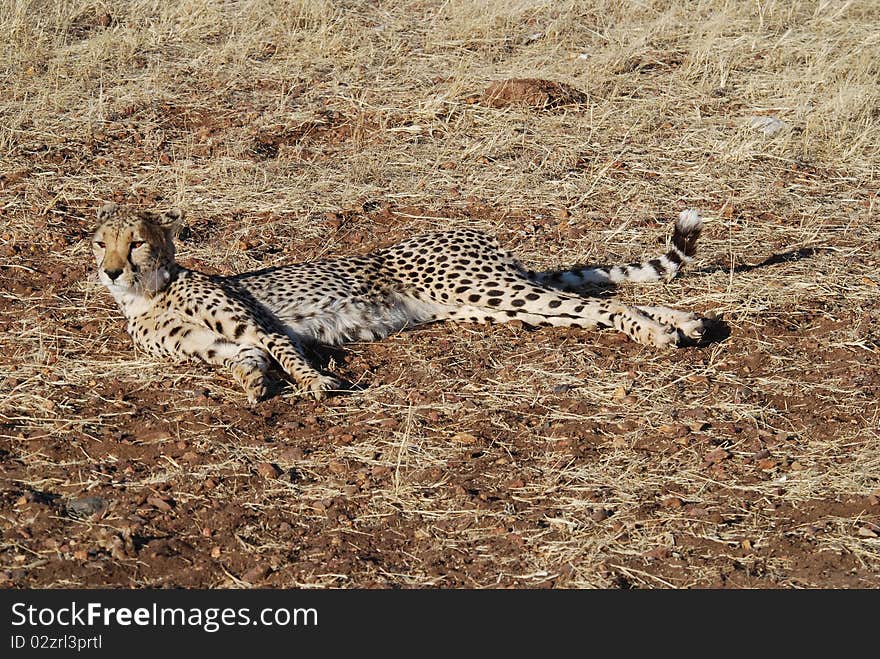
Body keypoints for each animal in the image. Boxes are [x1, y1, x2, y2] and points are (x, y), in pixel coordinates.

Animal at [91, 204, 708, 404]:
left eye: (136, 242)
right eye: (100, 243)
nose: (111, 270)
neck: (147, 296)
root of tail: (471, 233)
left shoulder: (258, 323)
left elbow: (284, 351)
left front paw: (318, 383)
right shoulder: (216, 344)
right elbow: (249, 361)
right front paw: (255, 386)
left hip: (482, 288)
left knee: (605, 306)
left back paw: (660, 331)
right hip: (494, 304)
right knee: (588, 299)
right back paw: (688, 322)